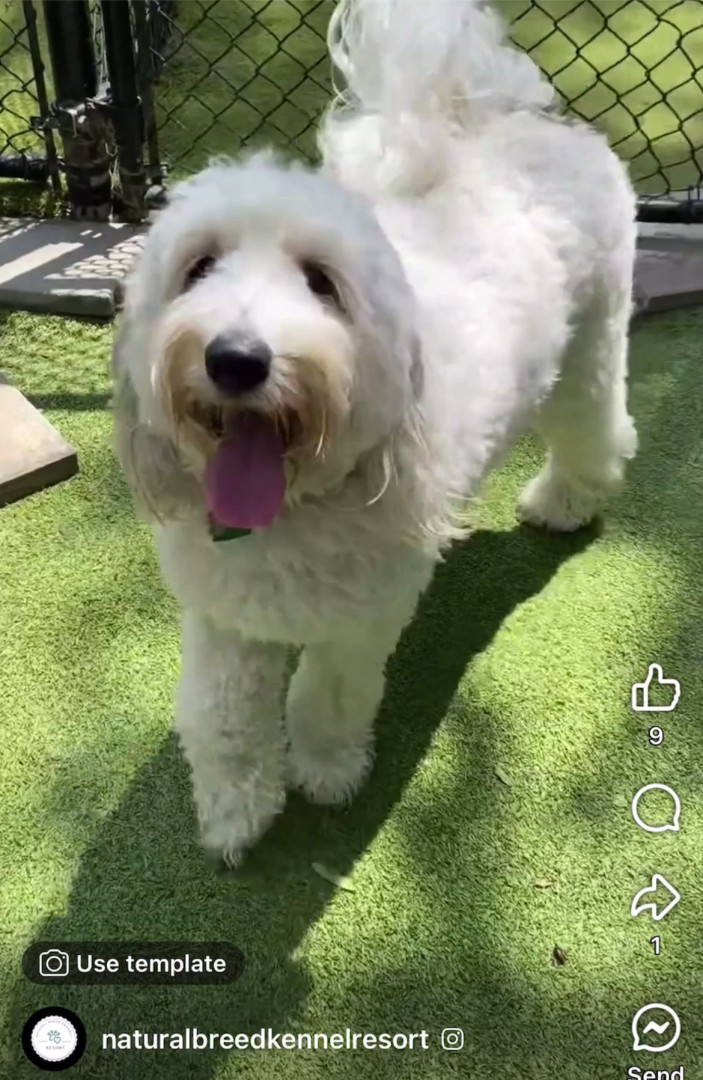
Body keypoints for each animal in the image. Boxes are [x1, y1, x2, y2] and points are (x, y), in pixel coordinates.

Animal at [113, 0, 638, 865]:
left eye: (321, 283)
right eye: (198, 267)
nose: (235, 358)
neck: (289, 505)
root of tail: (520, 127)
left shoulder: (361, 615)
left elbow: (326, 696)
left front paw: (326, 772)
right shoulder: (222, 612)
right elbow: (221, 716)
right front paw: (233, 809)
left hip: (589, 347)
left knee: (598, 429)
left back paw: (564, 502)